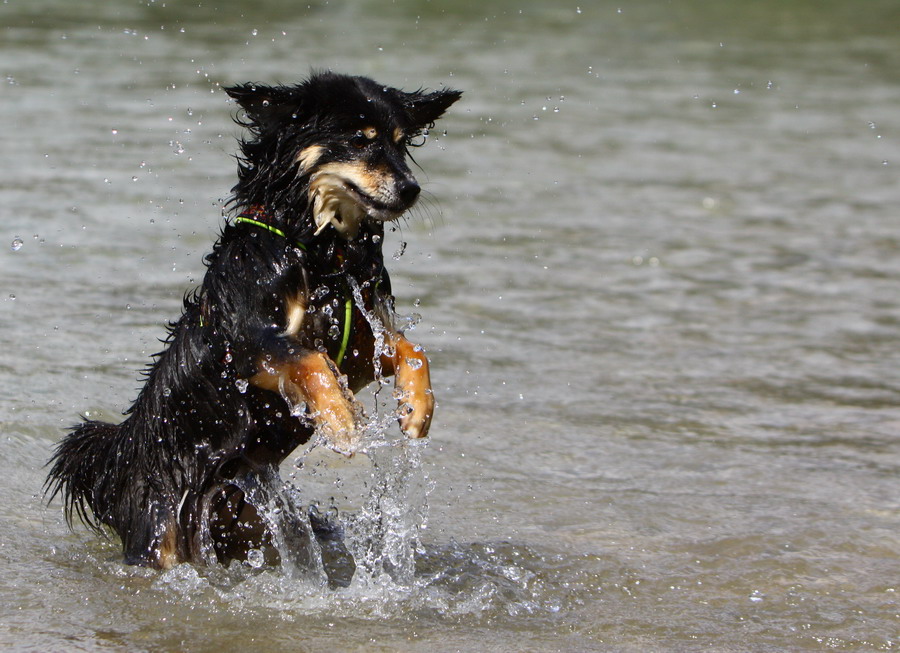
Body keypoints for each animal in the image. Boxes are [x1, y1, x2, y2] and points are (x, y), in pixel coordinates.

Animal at [44, 71, 460, 568]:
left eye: (401, 143)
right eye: (360, 139)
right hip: (161, 533)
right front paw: (341, 421)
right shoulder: (244, 346)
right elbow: (308, 361)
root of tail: (121, 455)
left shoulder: (358, 346)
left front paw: (417, 409)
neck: (323, 252)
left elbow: (411, 348)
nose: (411, 188)